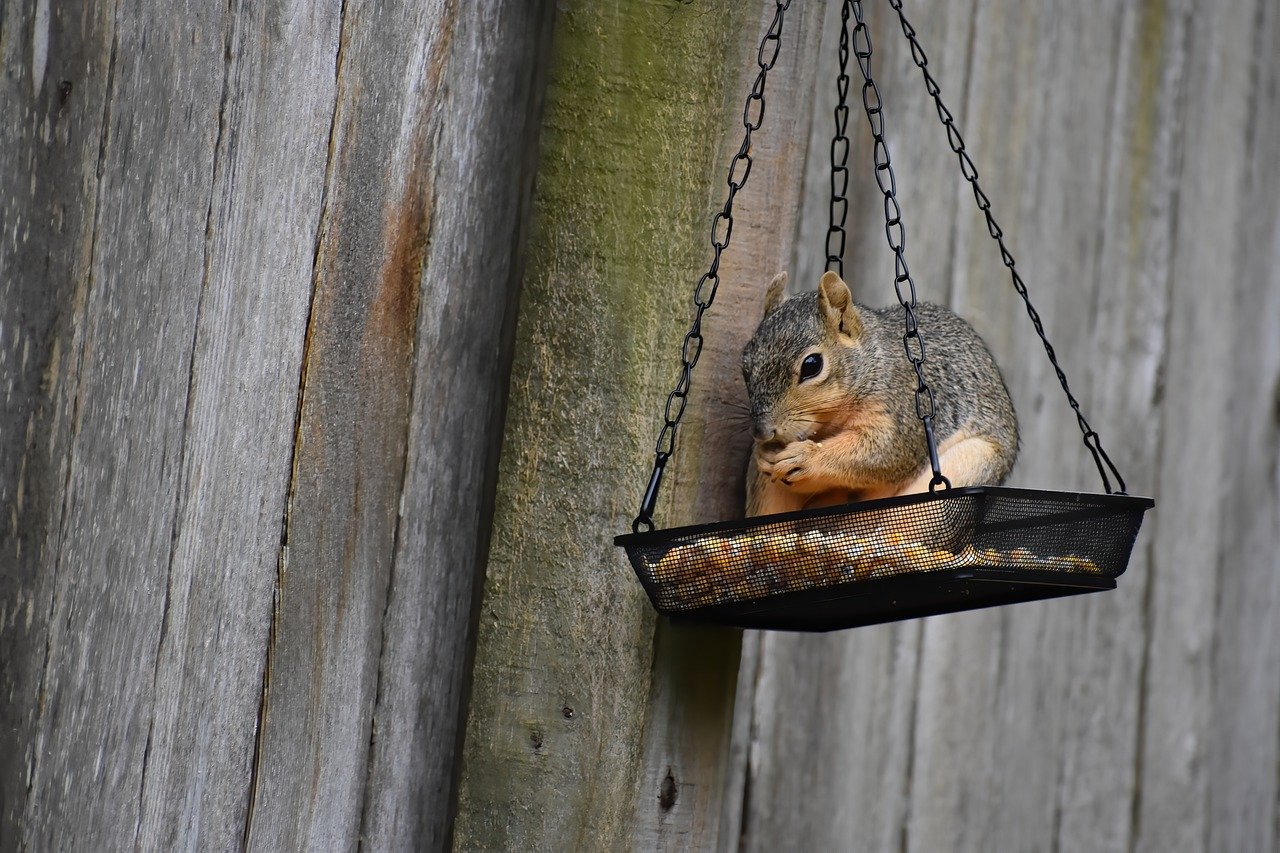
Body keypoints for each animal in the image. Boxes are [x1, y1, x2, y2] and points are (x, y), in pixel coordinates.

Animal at [742, 268, 1018, 514]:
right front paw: (766, 455)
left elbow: (884, 452)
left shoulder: (903, 409)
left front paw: (807, 457)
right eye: (744, 363)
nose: (762, 432)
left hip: (971, 462)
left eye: (812, 365)